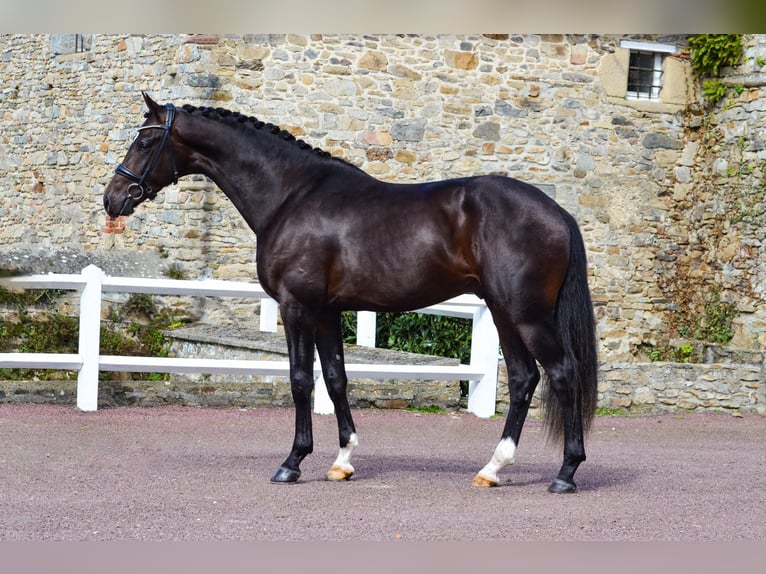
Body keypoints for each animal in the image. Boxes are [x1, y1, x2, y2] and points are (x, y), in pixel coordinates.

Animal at [104, 93, 599, 493]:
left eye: (145, 142)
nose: (113, 198)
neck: (292, 196)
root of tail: (557, 212)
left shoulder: (296, 307)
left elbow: (301, 380)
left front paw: (292, 463)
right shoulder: (326, 311)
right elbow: (336, 378)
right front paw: (342, 461)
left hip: (526, 314)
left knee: (562, 372)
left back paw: (566, 473)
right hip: (501, 311)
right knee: (523, 379)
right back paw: (492, 469)